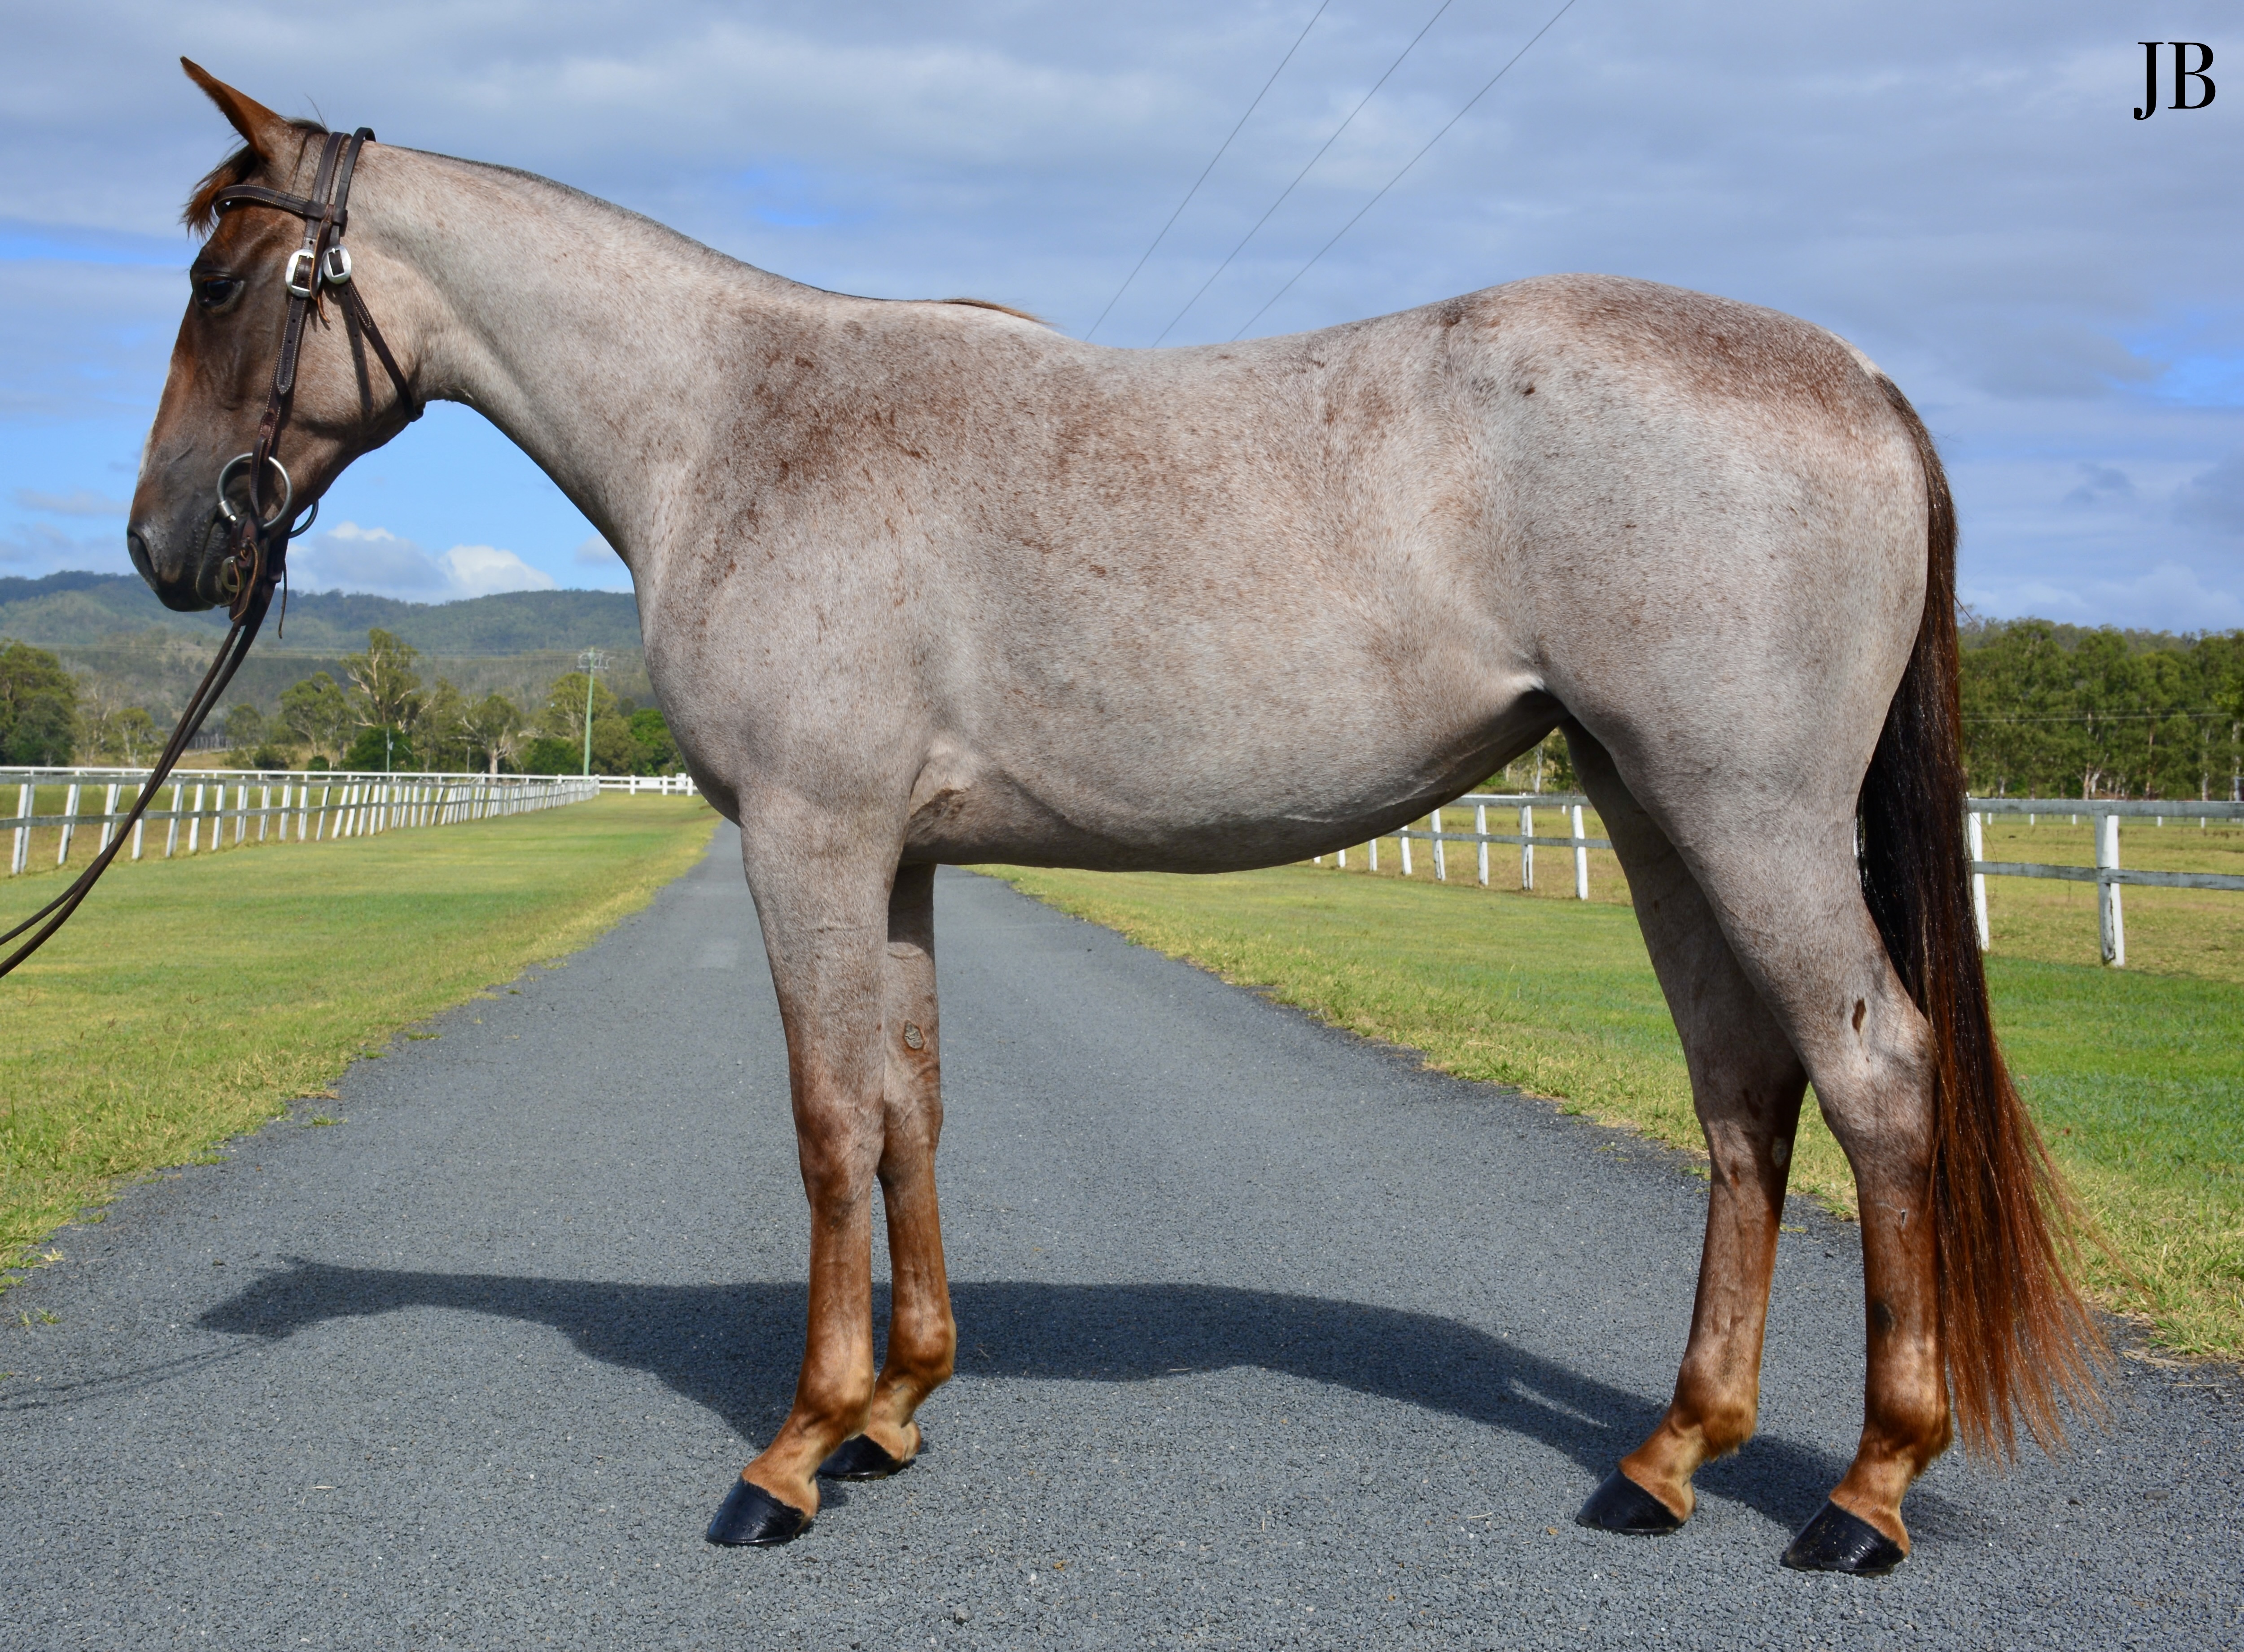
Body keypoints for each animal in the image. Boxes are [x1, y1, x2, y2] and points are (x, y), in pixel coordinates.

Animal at [131, 62, 2101, 1573]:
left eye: (227, 281)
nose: (164, 541)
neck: (737, 421)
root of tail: (1852, 373)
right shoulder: (897, 860)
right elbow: (911, 1108)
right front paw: (897, 1406)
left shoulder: (808, 837)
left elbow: (827, 1123)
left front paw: (793, 1449)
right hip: (1650, 808)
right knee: (1742, 1094)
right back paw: (1669, 1456)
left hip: (1745, 815)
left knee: (1874, 1077)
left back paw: (1862, 1491)